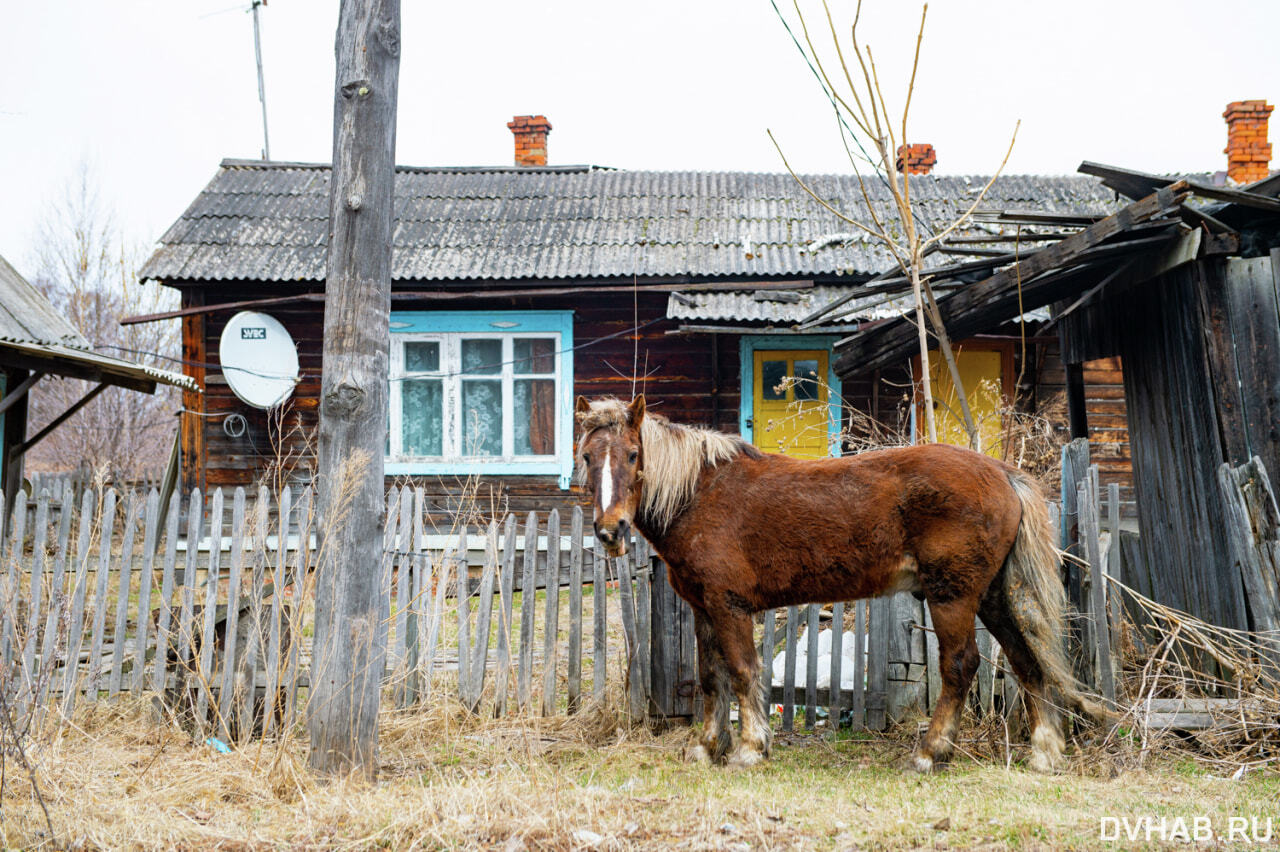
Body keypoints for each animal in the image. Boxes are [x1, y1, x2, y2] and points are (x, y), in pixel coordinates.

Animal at [573, 394, 1100, 772]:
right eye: (586, 456)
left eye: (633, 454)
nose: (610, 530)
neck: (699, 494)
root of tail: (1004, 473)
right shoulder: (703, 609)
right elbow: (710, 678)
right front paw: (707, 747)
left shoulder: (730, 607)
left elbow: (743, 672)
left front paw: (750, 748)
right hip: (990, 596)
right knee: (1026, 662)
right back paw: (1044, 753)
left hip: (952, 597)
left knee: (960, 667)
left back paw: (930, 753)